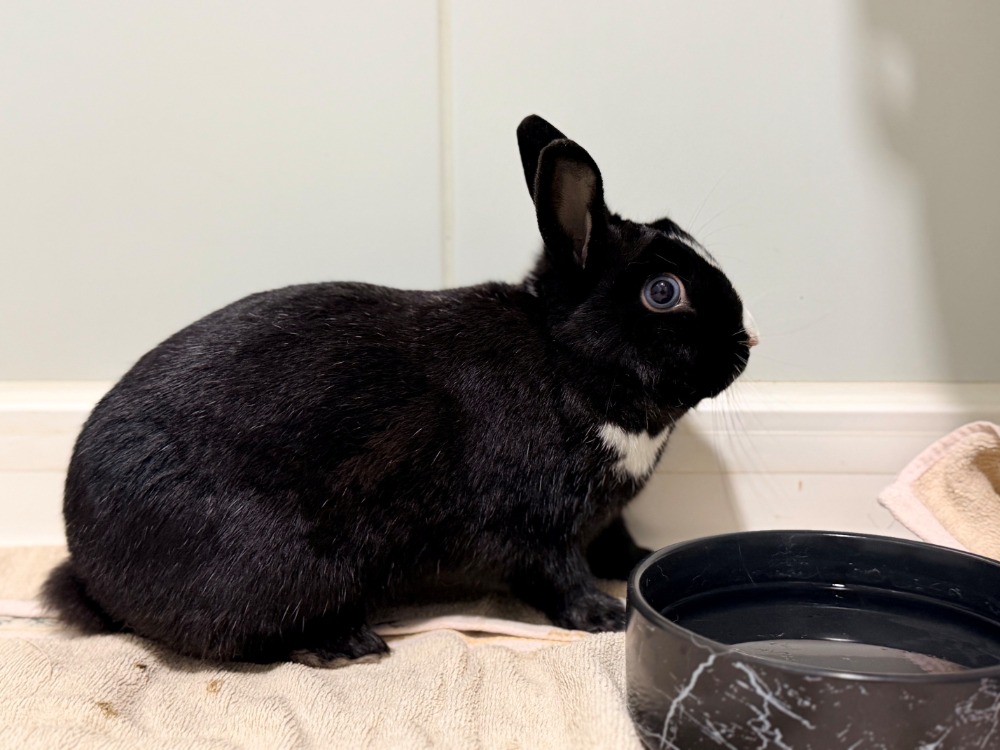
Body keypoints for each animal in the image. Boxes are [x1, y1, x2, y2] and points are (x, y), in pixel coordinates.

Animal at [43, 115, 756, 667]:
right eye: (663, 292)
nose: (748, 341)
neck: (568, 362)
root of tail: (90, 567)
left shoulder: (603, 514)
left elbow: (615, 541)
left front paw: (645, 559)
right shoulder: (535, 523)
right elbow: (558, 574)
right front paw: (604, 615)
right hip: (285, 569)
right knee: (245, 641)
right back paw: (344, 644)